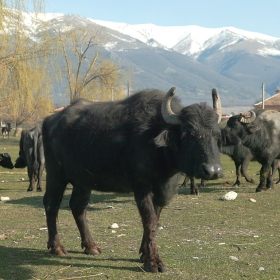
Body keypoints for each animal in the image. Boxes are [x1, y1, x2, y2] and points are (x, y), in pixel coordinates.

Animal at [42, 87, 225, 272]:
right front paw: (153, 261)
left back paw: (90, 246)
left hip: (83, 181)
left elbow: (155, 220)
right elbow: (149, 221)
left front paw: (144, 253)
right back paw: (57, 247)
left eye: (216, 135)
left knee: (78, 207)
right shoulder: (141, 187)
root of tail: (49, 120)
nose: (212, 170)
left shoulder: (162, 191)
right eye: (189, 135)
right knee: (51, 205)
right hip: (55, 174)